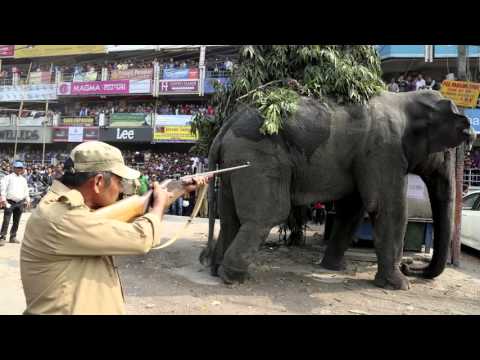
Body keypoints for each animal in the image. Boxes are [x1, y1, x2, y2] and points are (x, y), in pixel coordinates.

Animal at [200, 90, 476, 290]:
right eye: (448, 152)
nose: (411, 265)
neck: (406, 99)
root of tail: (225, 127)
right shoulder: (384, 149)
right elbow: (387, 207)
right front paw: (400, 285)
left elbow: (354, 208)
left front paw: (334, 268)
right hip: (257, 156)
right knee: (268, 214)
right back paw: (234, 278)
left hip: (235, 161)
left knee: (230, 216)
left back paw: (216, 270)